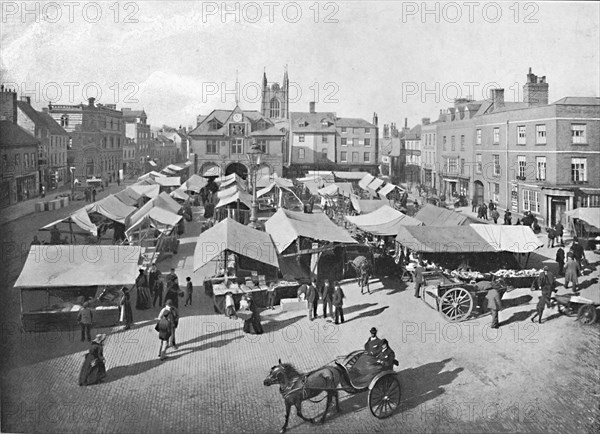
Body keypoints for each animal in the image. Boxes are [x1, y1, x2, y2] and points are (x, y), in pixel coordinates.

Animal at [264, 350, 400, 432]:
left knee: (329, 402)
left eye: (274, 374)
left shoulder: (297, 401)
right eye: (270, 371)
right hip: (330, 388)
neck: (292, 385)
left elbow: (299, 414)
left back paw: (323, 419)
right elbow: (287, 415)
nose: (264, 382)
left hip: (329, 389)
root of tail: (335, 368)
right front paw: (283, 427)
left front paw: (312, 420)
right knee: (335, 394)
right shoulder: (288, 402)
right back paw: (338, 409)